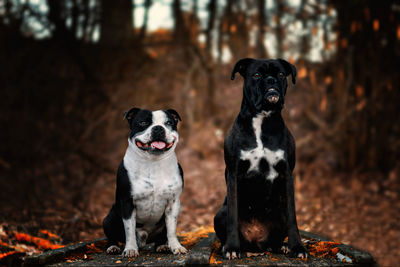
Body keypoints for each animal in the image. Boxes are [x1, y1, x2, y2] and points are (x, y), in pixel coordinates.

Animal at [101, 108, 186, 258]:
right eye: (143, 122)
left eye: (168, 123)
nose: (158, 128)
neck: (153, 162)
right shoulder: (127, 202)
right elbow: (129, 229)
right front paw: (130, 249)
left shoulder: (173, 203)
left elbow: (171, 230)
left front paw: (176, 247)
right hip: (109, 218)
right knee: (112, 236)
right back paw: (113, 247)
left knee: (162, 235)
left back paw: (161, 246)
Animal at [214, 58, 308, 260]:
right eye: (256, 75)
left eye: (281, 74)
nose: (271, 80)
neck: (262, 119)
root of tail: (256, 244)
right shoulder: (233, 174)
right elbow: (233, 215)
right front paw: (231, 248)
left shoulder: (287, 174)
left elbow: (293, 216)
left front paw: (297, 247)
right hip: (219, 214)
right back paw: (226, 246)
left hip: (279, 212)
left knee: (276, 239)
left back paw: (282, 247)